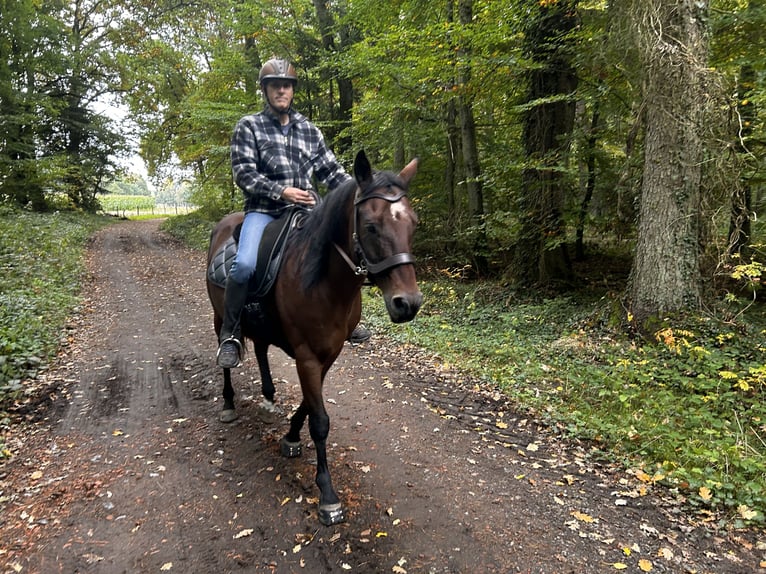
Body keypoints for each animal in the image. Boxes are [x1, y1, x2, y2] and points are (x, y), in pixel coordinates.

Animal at [205, 150, 422, 525]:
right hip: (222, 317)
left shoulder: (329, 353)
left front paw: (291, 436)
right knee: (227, 355)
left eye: (413, 223)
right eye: (371, 226)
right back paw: (229, 402)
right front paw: (328, 496)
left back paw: (268, 396)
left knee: (261, 348)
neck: (323, 281)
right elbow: (320, 420)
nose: (407, 304)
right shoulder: (307, 355)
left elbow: (310, 403)